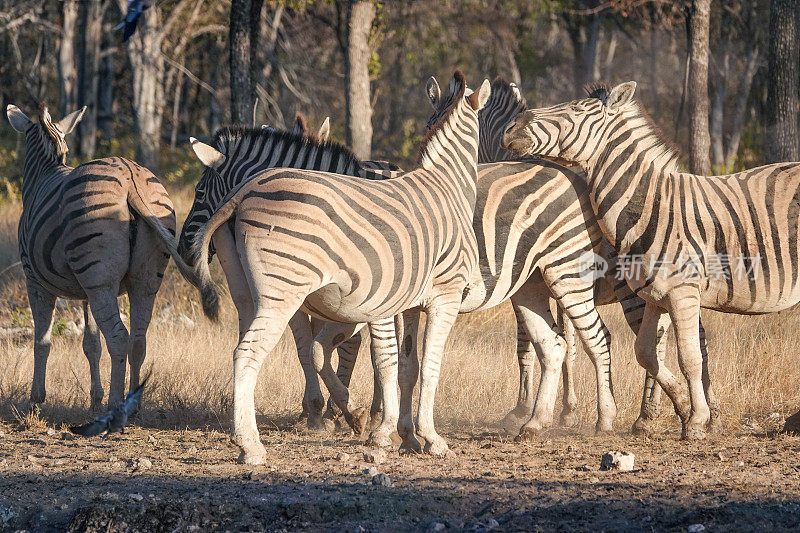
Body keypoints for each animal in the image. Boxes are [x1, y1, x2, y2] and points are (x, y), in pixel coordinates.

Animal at [6, 104, 195, 408]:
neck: (45, 171)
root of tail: (130, 177)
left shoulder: (33, 279)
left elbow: (42, 340)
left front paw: (36, 399)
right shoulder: (86, 291)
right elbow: (91, 344)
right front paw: (95, 398)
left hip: (100, 277)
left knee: (119, 337)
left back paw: (115, 404)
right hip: (140, 278)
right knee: (138, 339)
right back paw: (132, 403)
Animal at [186, 70, 488, 462]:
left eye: (198, 193)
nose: (183, 246)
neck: (446, 184)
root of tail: (244, 193)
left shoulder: (403, 302)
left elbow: (401, 364)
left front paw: (397, 432)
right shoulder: (444, 298)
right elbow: (426, 365)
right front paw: (426, 437)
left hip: (249, 293)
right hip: (283, 291)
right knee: (250, 352)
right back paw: (251, 444)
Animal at [500, 81, 800, 438]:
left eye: (575, 109)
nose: (511, 128)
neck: (650, 204)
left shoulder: (683, 292)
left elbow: (689, 356)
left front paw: (695, 421)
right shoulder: (655, 294)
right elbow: (646, 353)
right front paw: (679, 406)